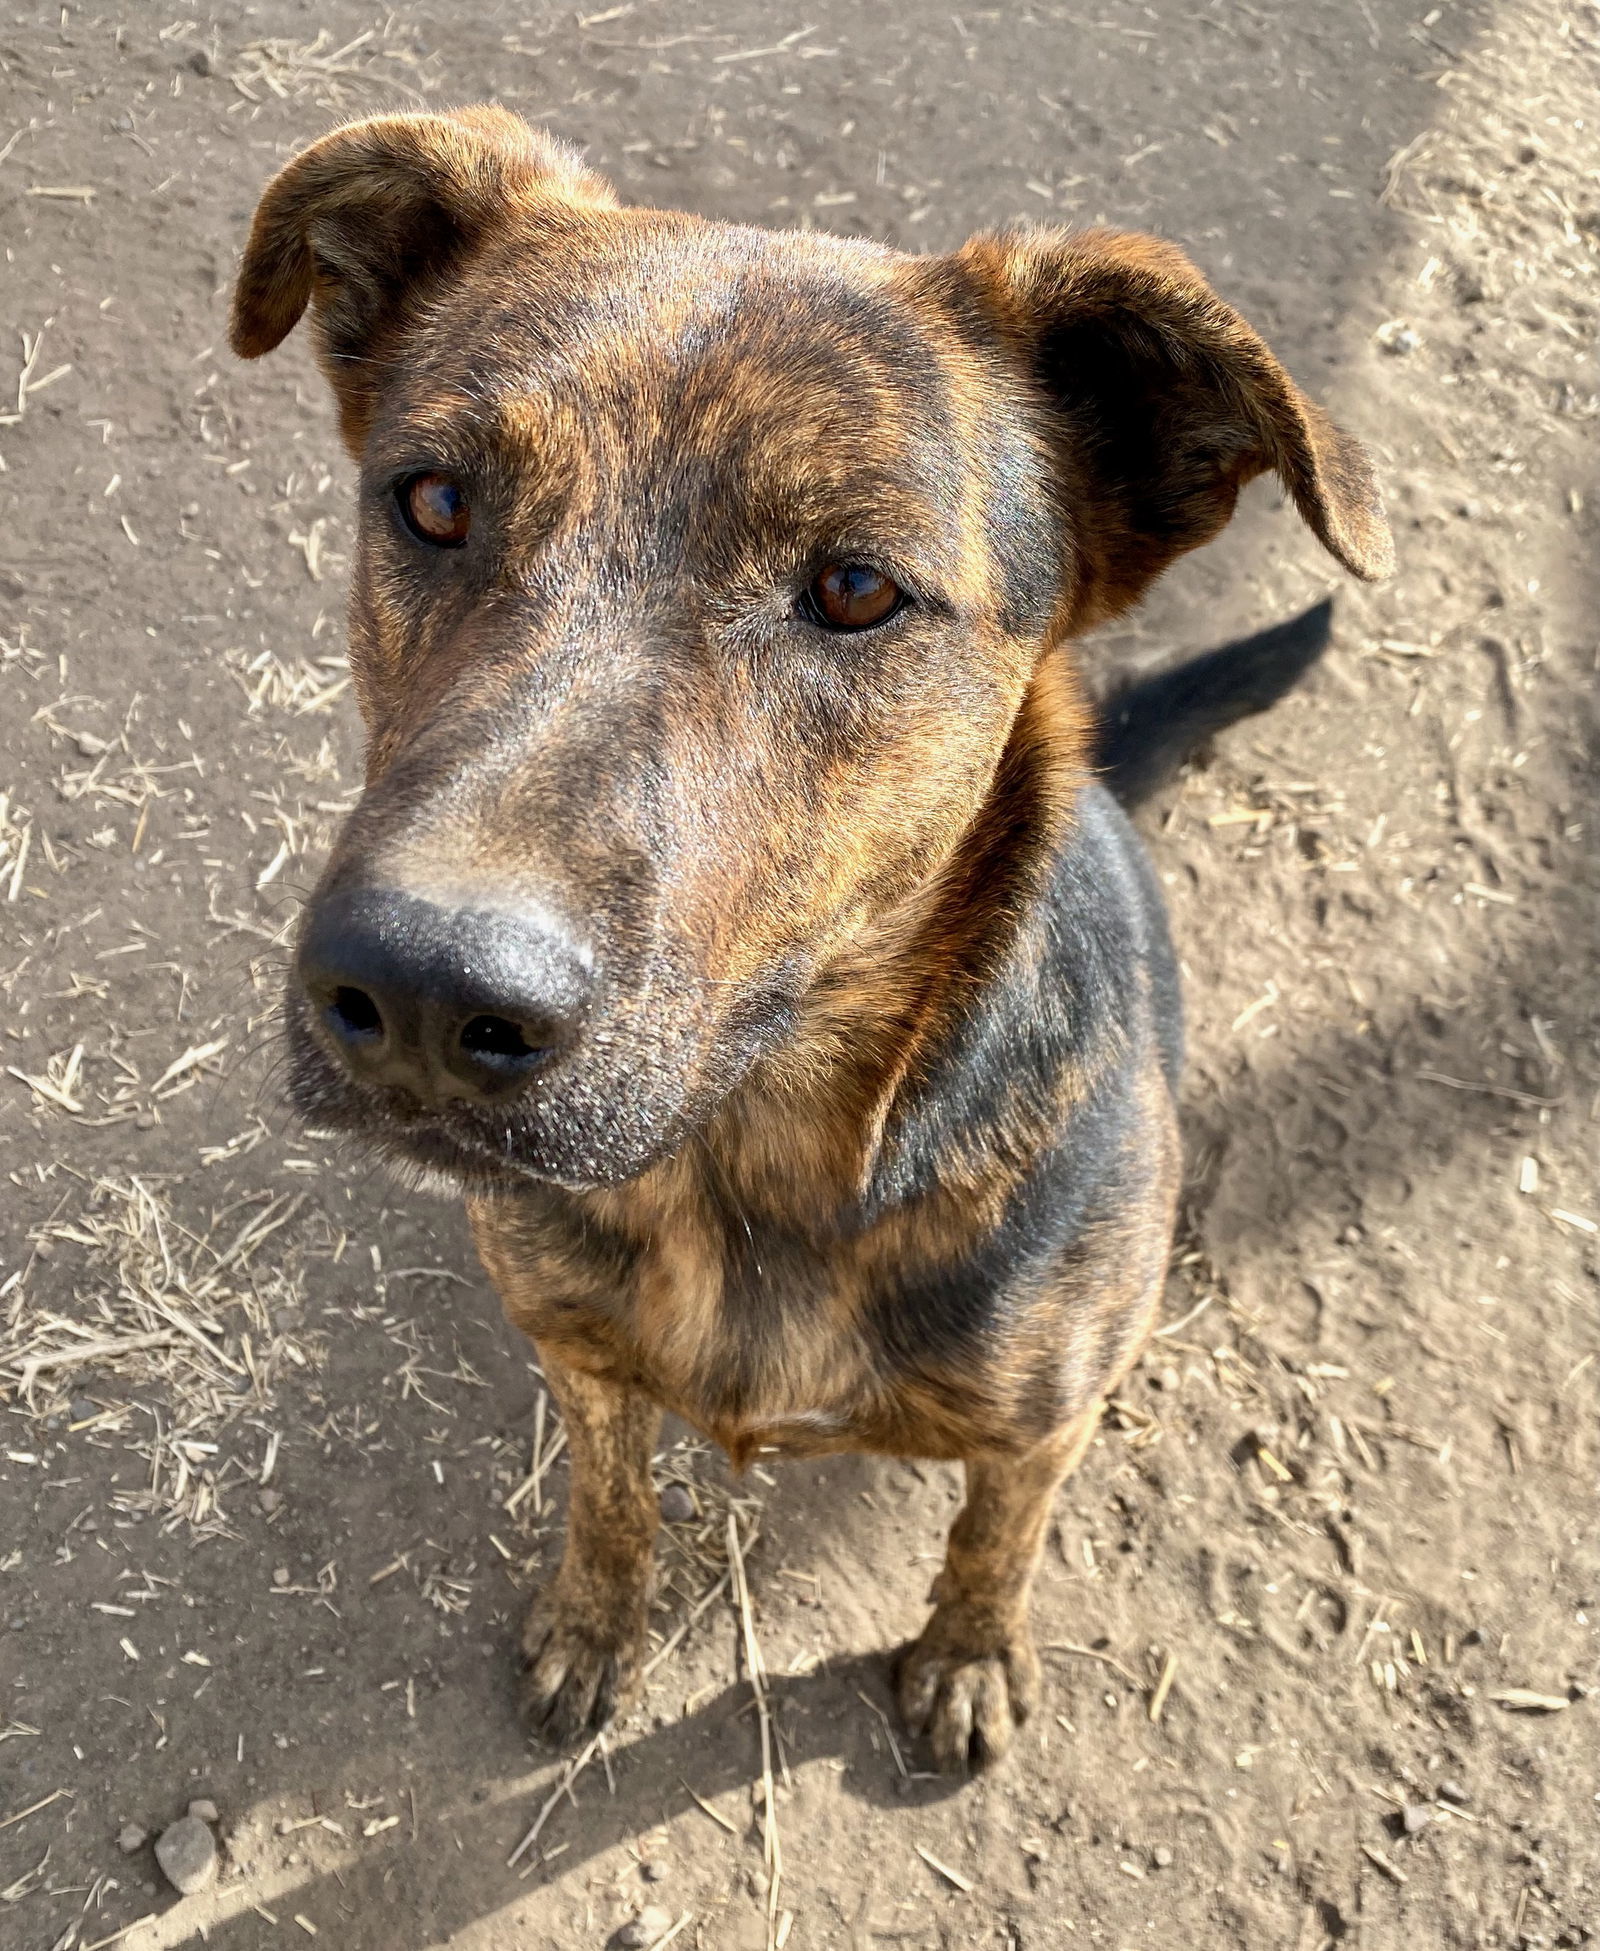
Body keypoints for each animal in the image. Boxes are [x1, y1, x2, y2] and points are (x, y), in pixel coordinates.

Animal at [228, 110, 1389, 1787]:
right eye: (432, 499)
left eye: (854, 588)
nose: (423, 990)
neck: (752, 1164)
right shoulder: (581, 1354)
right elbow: (610, 1490)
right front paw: (595, 1615)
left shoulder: (1043, 1417)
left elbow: (998, 1532)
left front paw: (967, 1650)